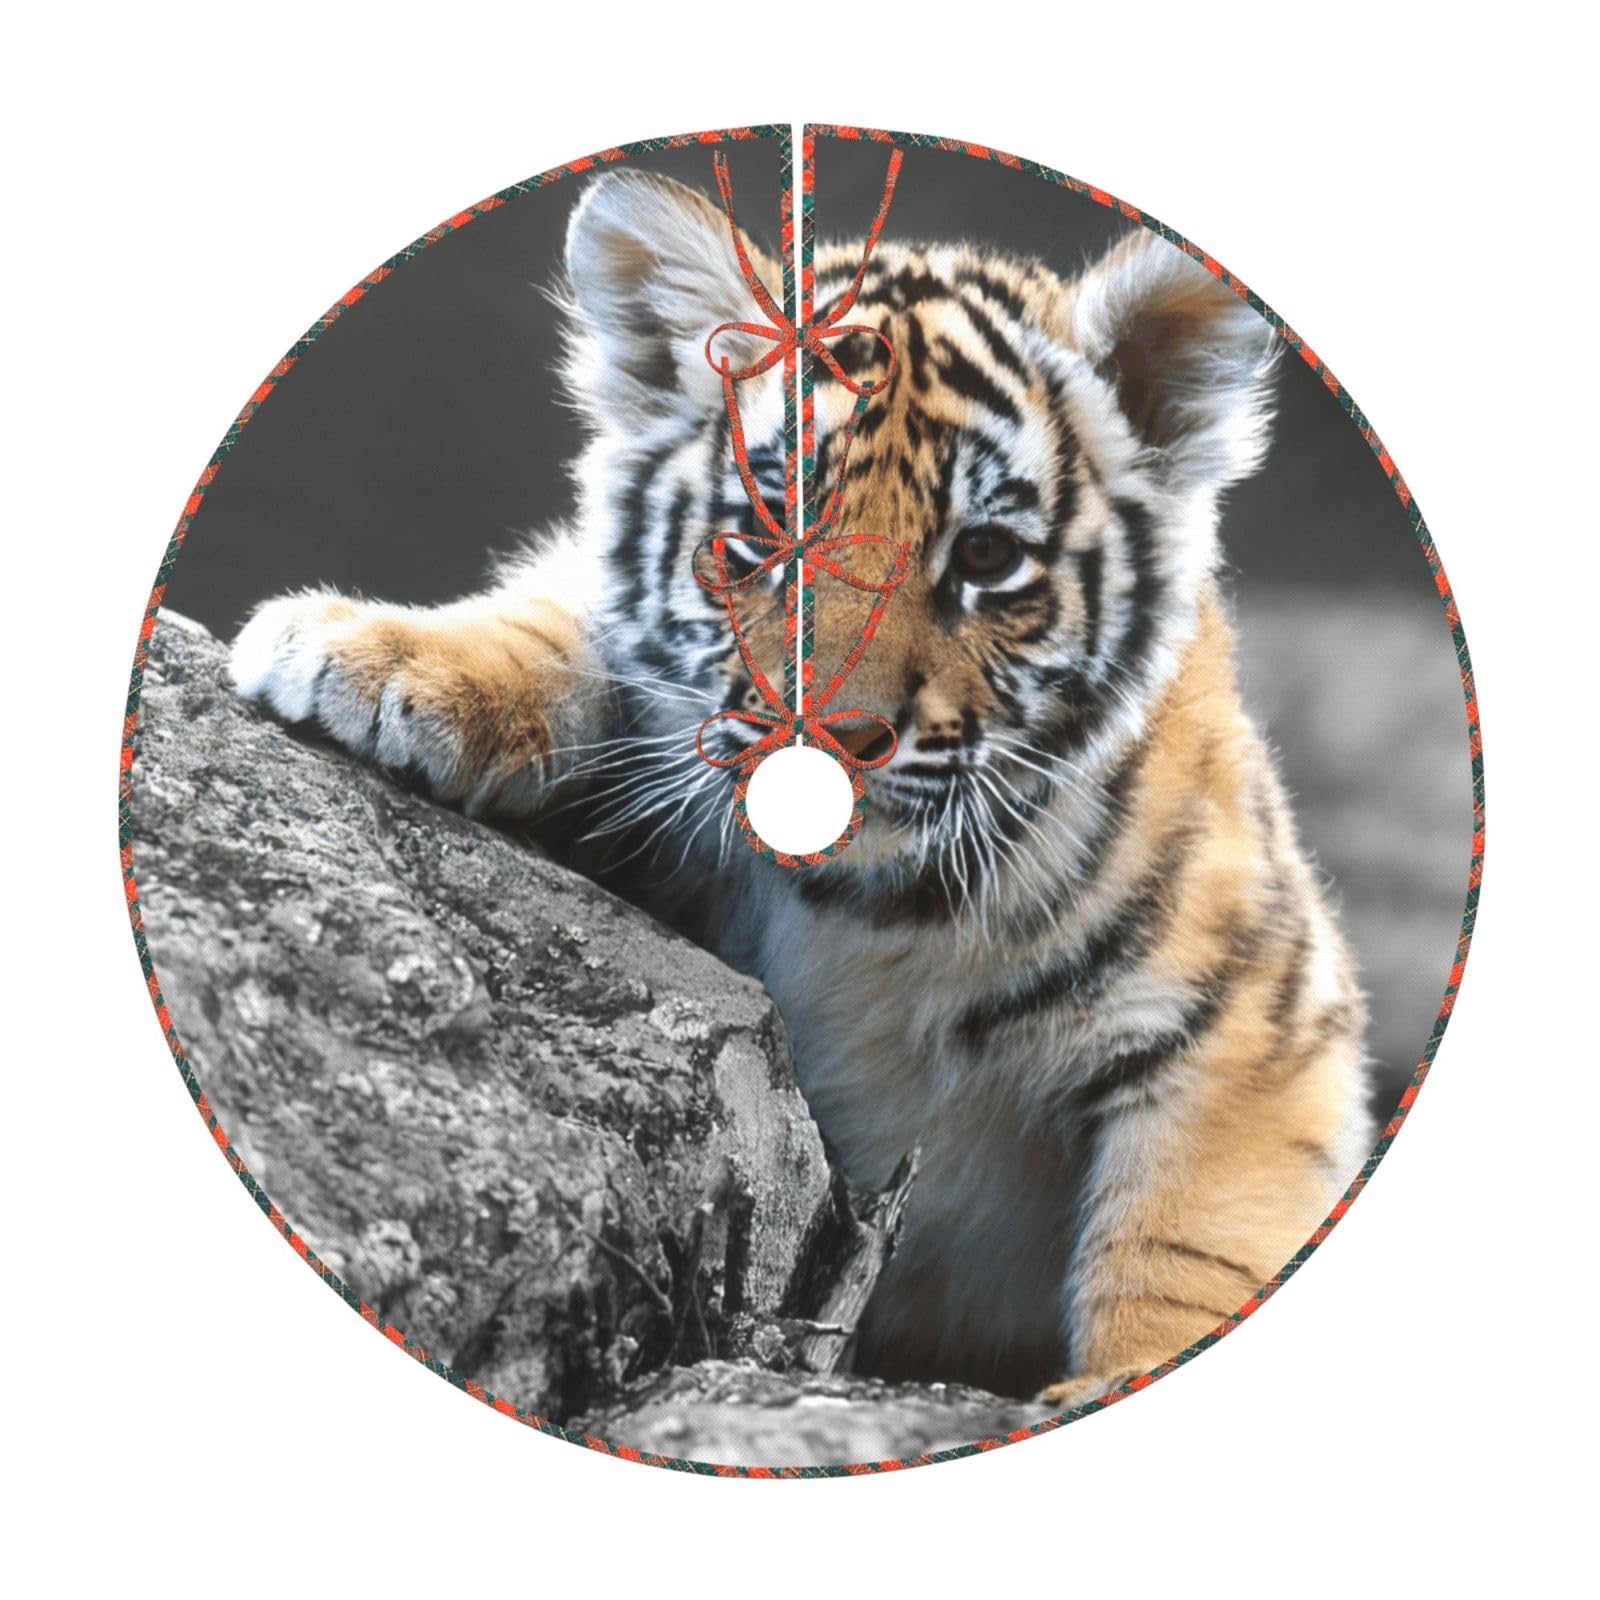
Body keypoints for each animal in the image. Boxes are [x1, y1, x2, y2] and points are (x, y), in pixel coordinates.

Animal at [228, 165, 1372, 1407]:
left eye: (985, 557)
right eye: (773, 528)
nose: (837, 735)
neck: (868, 908)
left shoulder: (1255, 1030)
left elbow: (1192, 1244)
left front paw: (1114, 1377)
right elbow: (568, 622)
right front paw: (365, 653)